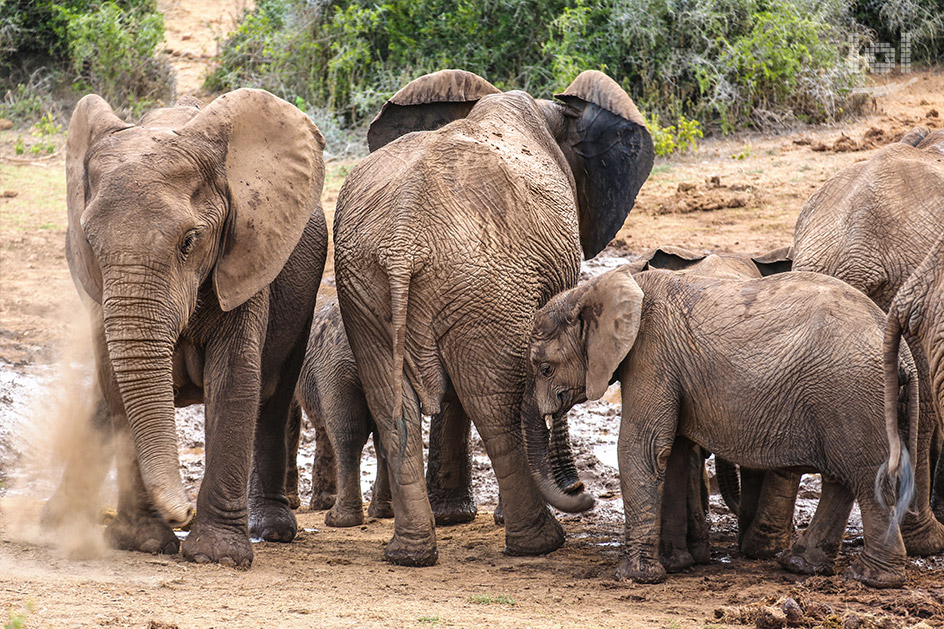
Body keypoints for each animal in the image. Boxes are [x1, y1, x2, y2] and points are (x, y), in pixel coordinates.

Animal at [47, 91, 328, 568]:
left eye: (189, 242)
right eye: (90, 241)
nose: (183, 512)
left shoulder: (245, 257)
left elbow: (233, 379)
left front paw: (217, 557)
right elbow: (115, 382)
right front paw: (143, 543)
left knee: (274, 399)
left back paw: (271, 530)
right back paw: (55, 520)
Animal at [336, 68, 652, 564]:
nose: (581, 490)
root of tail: (402, 242)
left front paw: (453, 518)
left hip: (368, 288)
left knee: (391, 403)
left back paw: (409, 554)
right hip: (486, 285)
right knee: (496, 403)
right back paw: (539, 543)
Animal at [524, 266, 916, 588]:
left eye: (544, 367)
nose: (583, 491)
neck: (594, 288)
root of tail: (900, 351)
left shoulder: (651, 357)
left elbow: (644, 447)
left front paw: (634, 576)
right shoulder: (669, 368)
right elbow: (674, 453)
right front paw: (675, 565)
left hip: (851, 390)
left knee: (864, 473)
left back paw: (871, 578)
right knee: (843, 477)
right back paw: (801, 565)